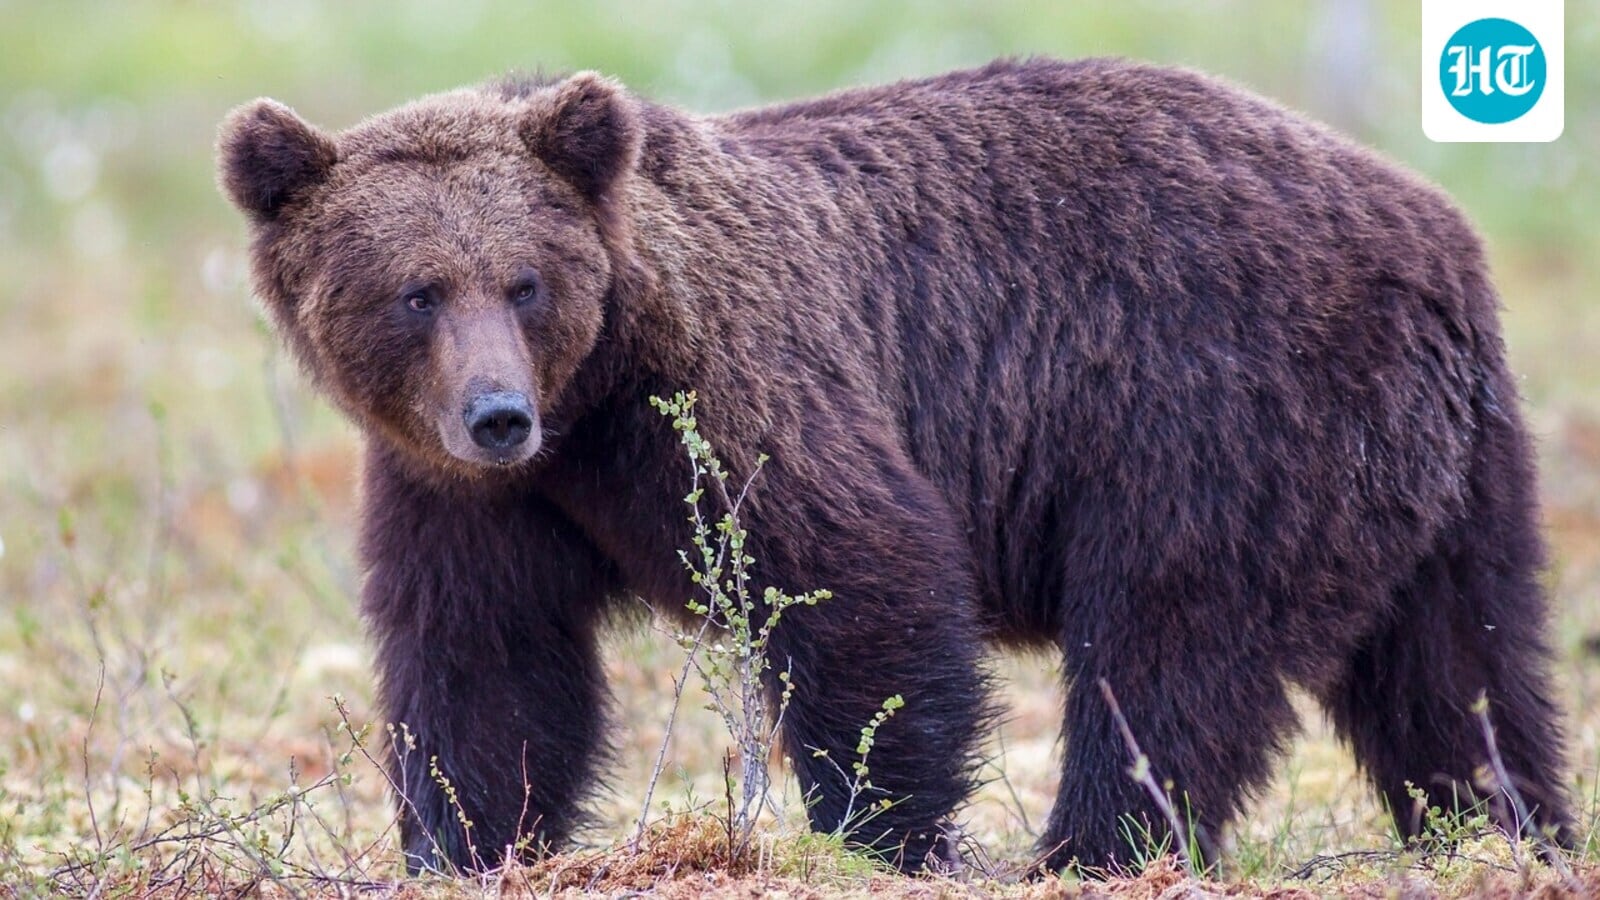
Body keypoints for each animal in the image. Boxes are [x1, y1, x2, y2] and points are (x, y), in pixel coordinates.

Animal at [217, 58, 1572, 875]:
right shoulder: (468, 494)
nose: (496, 413)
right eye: (415, 291)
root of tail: (1432, 228)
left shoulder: (735, 386)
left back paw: (1088, 849)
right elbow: (485, 666)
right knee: (1458, 668)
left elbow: (861, 579)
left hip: (1219, 410)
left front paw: (888, 834)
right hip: (1443, 470)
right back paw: (1504, 833)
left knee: (1171, 648)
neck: (593, 401)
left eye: (524, 281)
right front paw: (469, 842)